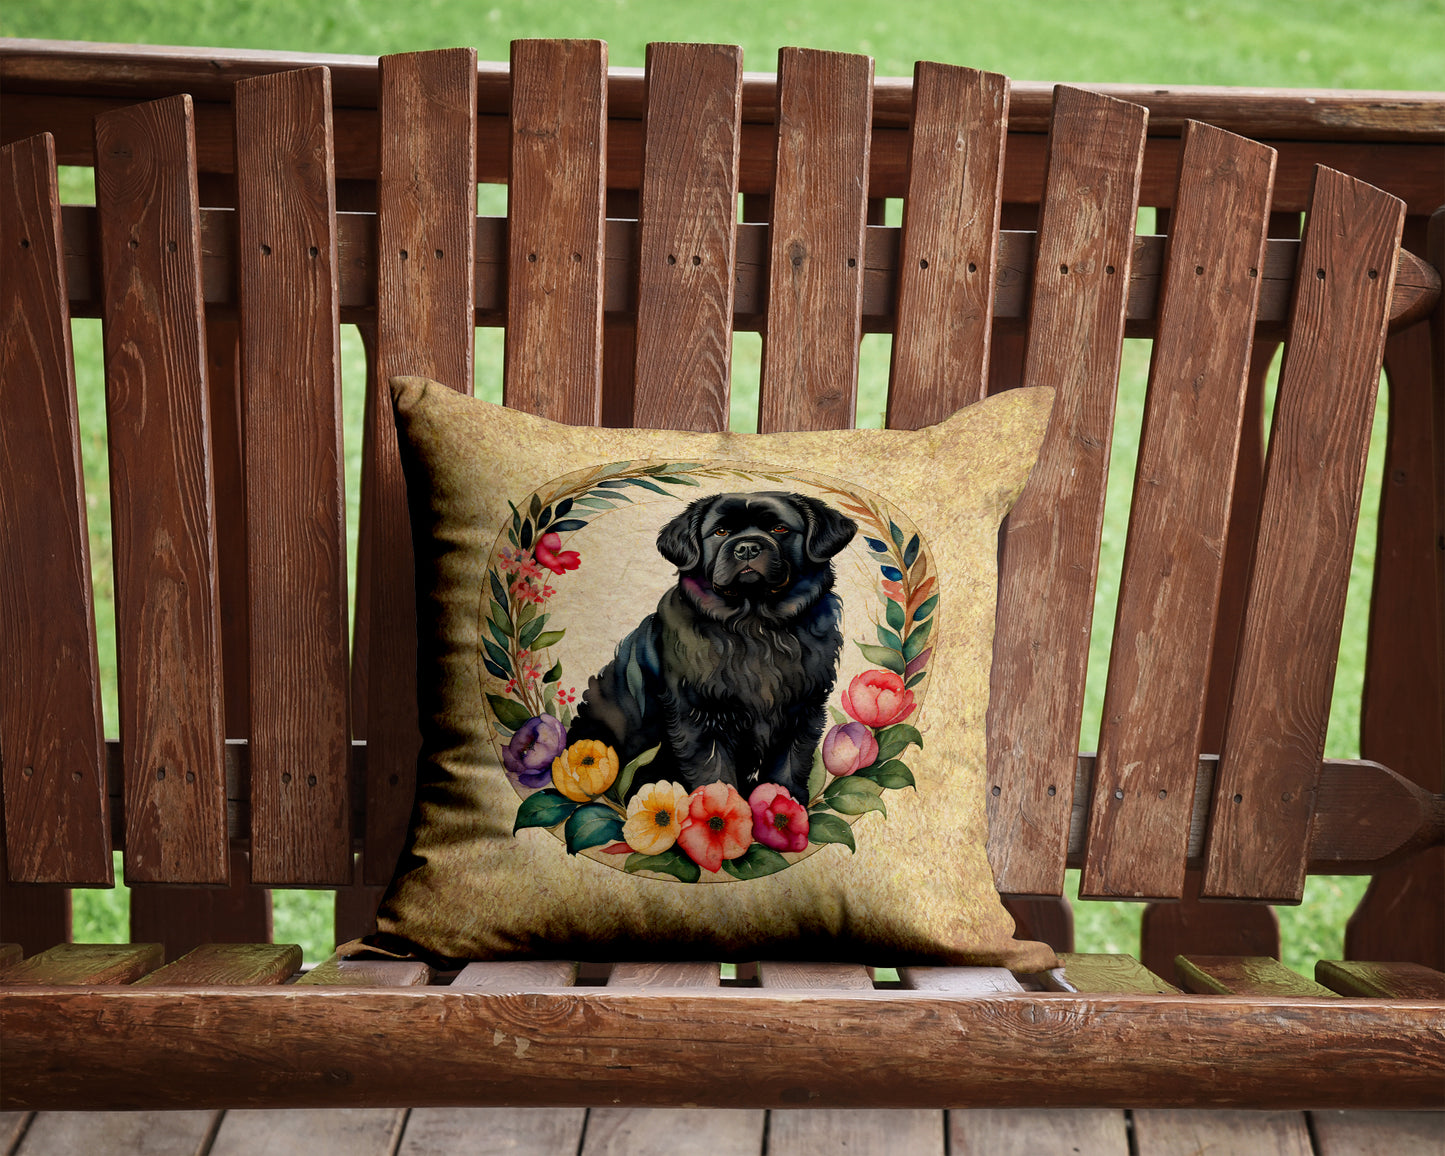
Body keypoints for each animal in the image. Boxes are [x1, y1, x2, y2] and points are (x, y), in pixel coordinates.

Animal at [563, 491, 855, 809]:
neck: (756, 627)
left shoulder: (804, 709)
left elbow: (790, 764)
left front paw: (786, 806)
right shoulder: (698, 717)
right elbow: (714, 771)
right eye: (721, 532)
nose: (747, 547)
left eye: (779, 529)